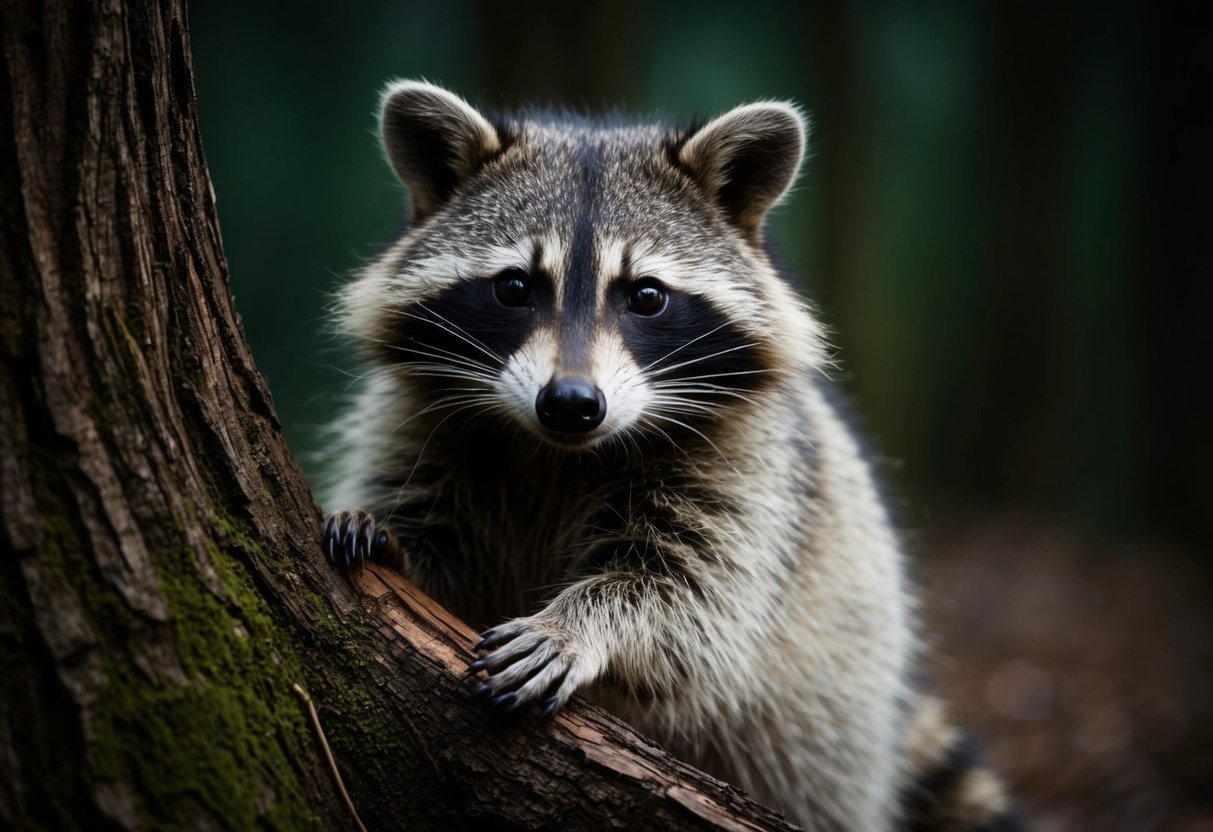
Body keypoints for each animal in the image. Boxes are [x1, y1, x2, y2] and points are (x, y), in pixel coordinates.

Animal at [321, 80, 1019, 832]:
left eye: (646, 296)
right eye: (513, 287)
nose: (570, 402)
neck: (556, 453)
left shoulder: (747, 470)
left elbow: (687, 602)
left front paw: (581, 622)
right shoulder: (418, 423)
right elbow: (434, 533)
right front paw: (396, 538)